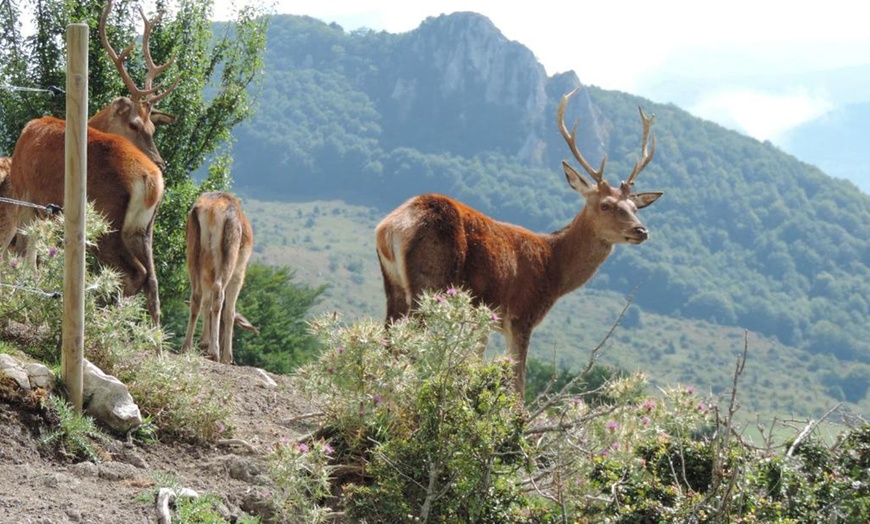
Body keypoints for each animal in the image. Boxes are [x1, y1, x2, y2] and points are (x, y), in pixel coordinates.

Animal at [181, 192, 255, 364]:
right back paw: (216, 352)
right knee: (219, 293)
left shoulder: (207, 273)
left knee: (197, 295)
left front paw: (203, 343)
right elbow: (230, 312)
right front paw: (227, 356)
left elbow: (206, 304)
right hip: (229, 256)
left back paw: (186, 346)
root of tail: (211, 210)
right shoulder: (239, 272)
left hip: (193, 250)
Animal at [376, 88, 668, 396]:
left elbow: (475, 365)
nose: (641, 231)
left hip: (394, 286)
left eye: (634, 208)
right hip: (430, 282)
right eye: (606, 205)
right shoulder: (521, 315)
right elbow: (517, 385)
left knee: (388, 344)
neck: (554, 269)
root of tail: (392, 227)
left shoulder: (485, 321)